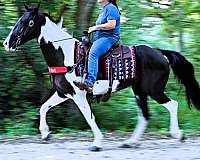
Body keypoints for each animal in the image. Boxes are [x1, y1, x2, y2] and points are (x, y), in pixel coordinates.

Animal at [3, 4, 200, 151]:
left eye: (28, 22)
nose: (6, 43)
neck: (65, 54)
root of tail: (161, 53)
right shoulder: (63, 93)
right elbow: (43, 107)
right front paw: (45, 133)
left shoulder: (78, 94)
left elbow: (89, 117)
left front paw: (97, 143)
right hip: (139, 91)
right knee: (145, 115)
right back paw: (131, 142)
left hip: (154, 90)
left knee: (172, 105)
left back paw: (178, 134)